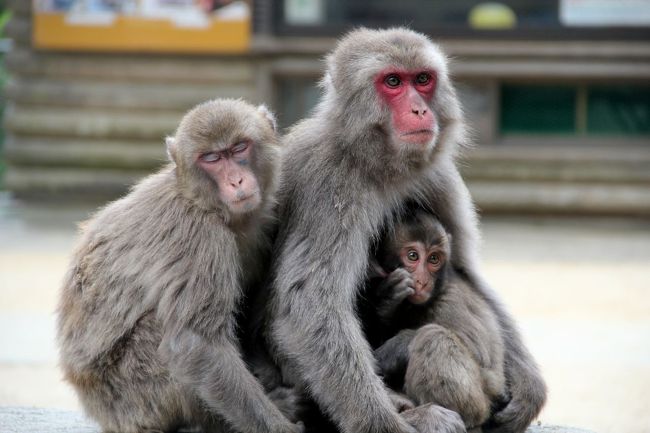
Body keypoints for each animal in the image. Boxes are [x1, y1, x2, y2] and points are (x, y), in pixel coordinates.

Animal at [56, 98, 304, 432]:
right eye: (211, 158)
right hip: (130, 397)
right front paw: (279, 427)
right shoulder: (199, 236)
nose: (236, 181)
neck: (206, 203)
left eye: (239, 148)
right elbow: (196, 343)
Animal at [360, 209, 506, 428]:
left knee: (433, 337)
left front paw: (394, 348)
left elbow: (479, 355)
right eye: (413, 256)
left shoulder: (451, 302)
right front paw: (388, 300)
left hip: (479, 404)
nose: (422, 281)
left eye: (434, 259)